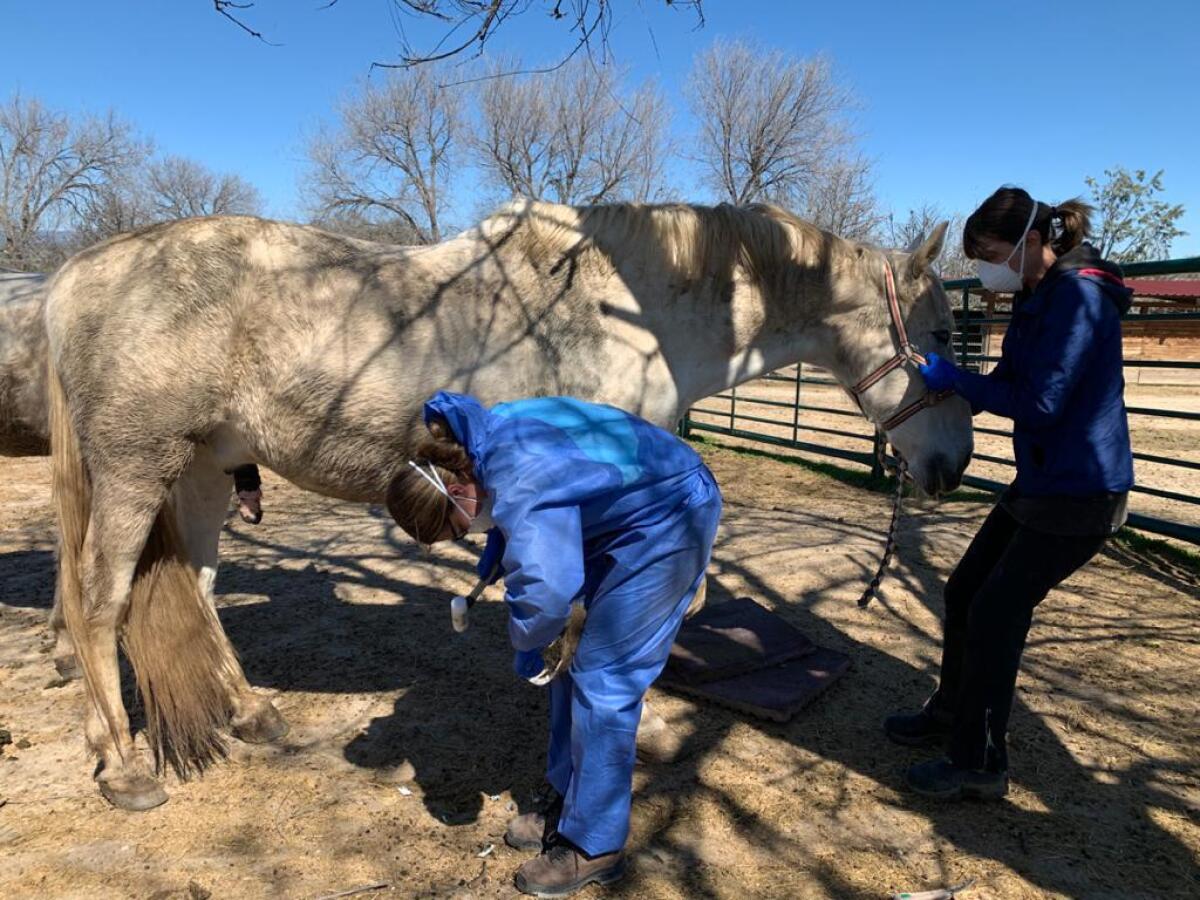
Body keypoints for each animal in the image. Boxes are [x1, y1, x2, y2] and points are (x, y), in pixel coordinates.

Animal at [44, 202, 974, 811]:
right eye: (939, 336)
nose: (956, 467)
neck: (632, 309)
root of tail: (74, 275)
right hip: (136, 470)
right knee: (96, 604)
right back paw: (122, 767)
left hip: (205, 471)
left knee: (197, 591)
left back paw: (251, 717)